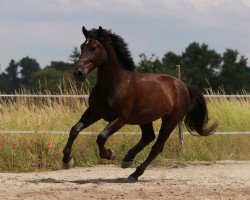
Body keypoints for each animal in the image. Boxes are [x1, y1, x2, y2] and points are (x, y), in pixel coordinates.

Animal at [62, 25, 217, 182]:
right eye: (82, 46)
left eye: (93, 47)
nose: (78, 72)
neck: (114, 84)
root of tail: (183, 85)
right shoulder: (94, 112)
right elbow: (74, 130)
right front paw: (67, 161)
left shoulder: (120, 119)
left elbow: (101, 137)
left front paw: (110, 154)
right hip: (145, 118)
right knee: (149, 137)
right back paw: (127, 160)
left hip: (171, 120)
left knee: (157, 147)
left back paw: (134, 173)